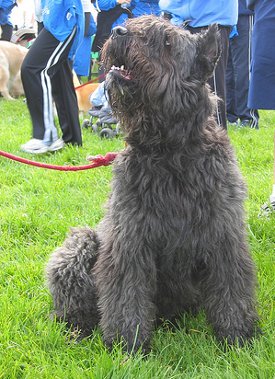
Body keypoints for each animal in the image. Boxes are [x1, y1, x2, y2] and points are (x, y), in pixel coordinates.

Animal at [46, 14, 260, 354]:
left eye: (167, 42)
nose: (118, 31)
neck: (170, 153)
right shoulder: (130, 239)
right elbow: (126, 294)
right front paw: (127, 346)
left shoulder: (223, 234)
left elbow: (231, 286)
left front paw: (237, 337)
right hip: (80, 245)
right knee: (74, 304)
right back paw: (77, 330)